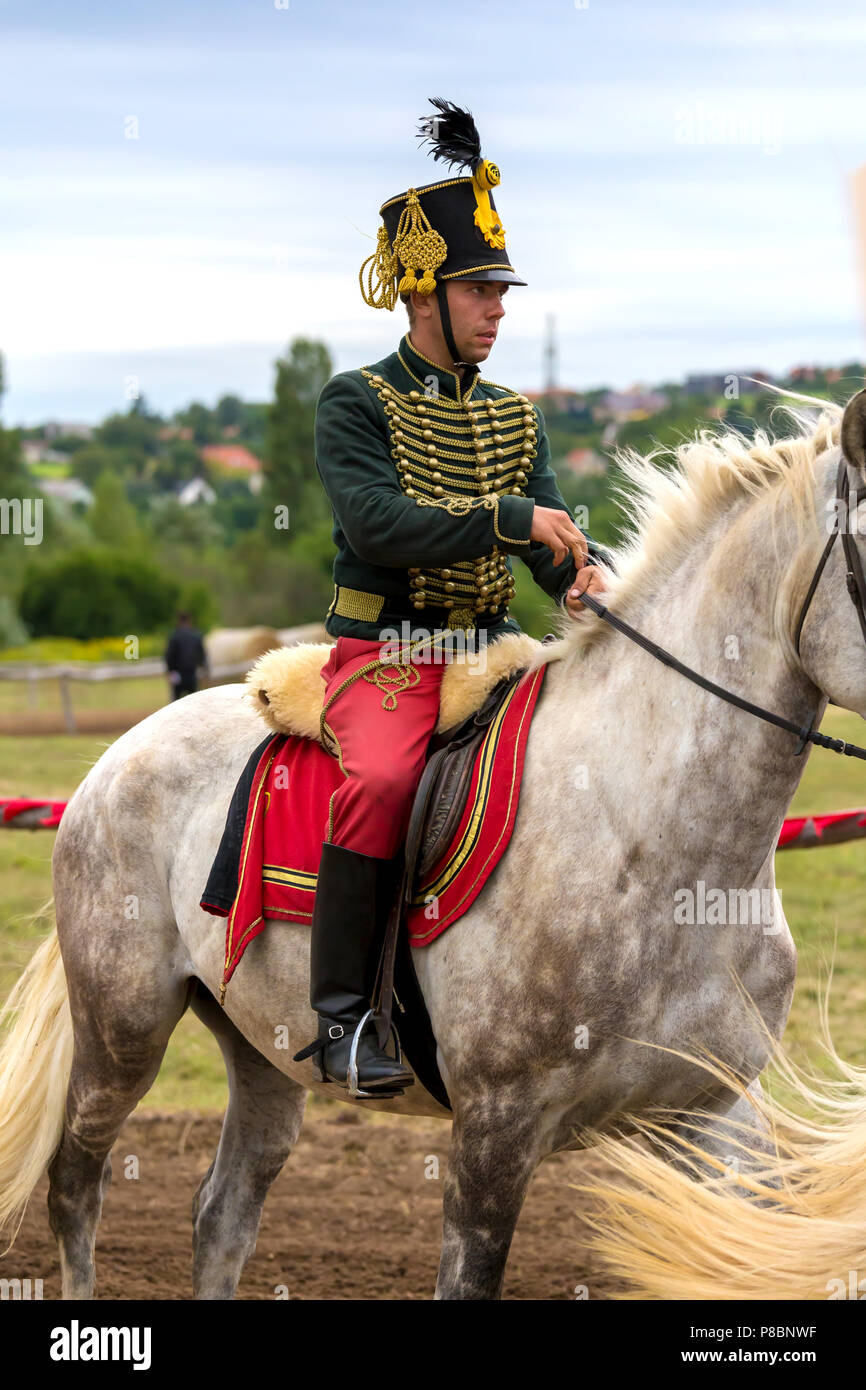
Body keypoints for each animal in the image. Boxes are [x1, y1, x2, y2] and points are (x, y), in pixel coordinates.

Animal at [1, 386, 866, 1295]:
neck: (652, 841)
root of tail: (114, 758)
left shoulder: (718, 1115)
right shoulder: (495, 1129)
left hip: (261, 1053)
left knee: (221, 1214)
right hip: (122, 1031)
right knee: (75, 1186)